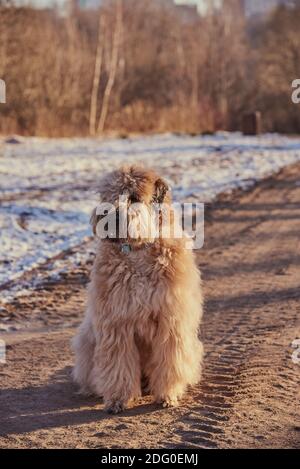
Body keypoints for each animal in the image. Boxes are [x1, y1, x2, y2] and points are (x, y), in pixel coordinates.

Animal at [72, 165, 204, 414]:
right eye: (108, 196)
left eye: (133, 197)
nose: (108, 214)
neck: (138, 250)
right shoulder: (116, 322)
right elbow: (117, 364)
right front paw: (117, 399)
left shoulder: (171, 320)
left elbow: (170, 361)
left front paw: (167, 395)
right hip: (88, 340)